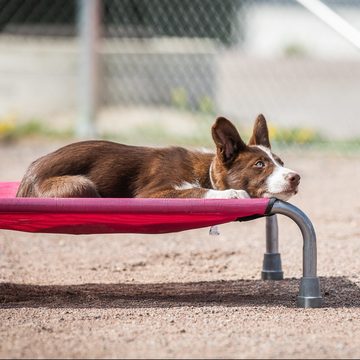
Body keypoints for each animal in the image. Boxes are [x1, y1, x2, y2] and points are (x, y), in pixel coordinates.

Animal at [15, 114, 300, 201]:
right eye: (260, 165)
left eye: (281, 163)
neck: (205, 173)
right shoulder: (151, 193)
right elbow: (195, 191)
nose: (295, 177)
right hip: (80, 185)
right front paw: (232, 193)